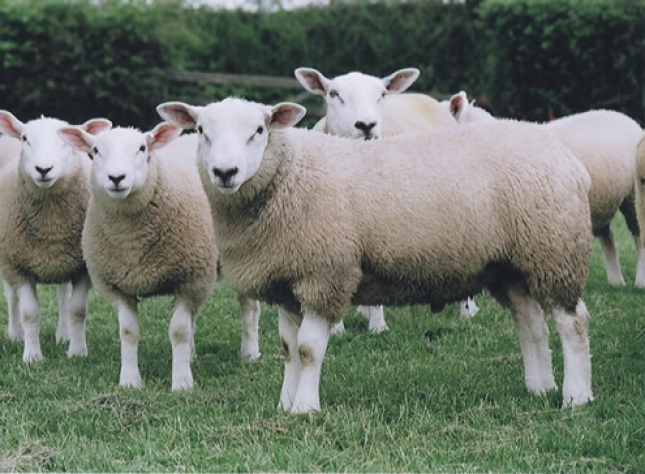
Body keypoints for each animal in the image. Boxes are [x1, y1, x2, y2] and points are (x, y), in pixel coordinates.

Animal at [0, 112, 111, 362]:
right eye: (25, 138)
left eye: (65, 141)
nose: (43, 169)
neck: (51, 225)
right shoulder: (20, 265)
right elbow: (29, 313)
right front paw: (32, 356)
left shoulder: (82, 268)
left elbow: (77, 310)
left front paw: (77, 351)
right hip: (7, 259)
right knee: (11, 296)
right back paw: (15, 334)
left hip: (63, 261)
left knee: (63, 297)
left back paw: (64, 334)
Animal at [156, 97, 592, 414]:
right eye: (202, 131)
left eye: (259, 130)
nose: (224, 172)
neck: (291, 176)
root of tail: (568, 159)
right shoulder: (288, 282)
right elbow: (289, 348)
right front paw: (285, 402)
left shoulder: (325, 274)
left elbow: (309, 349)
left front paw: (305, 408)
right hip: (511, 266)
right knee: (530, 323)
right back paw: (539, 387)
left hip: (555, 250)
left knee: (572, 322)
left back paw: (575, 396)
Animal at [294, 67, 476, 326]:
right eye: (334, 94)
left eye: (381, 94)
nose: (366, 125)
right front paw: (337, 327)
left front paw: (378, 326)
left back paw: (467, 310)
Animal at [446, 91, 644, 286]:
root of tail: (625, 118)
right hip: (601, 202)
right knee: (608, 235)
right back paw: (616, 280)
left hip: (634, 195)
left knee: (639, 234)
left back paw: (639, 281)